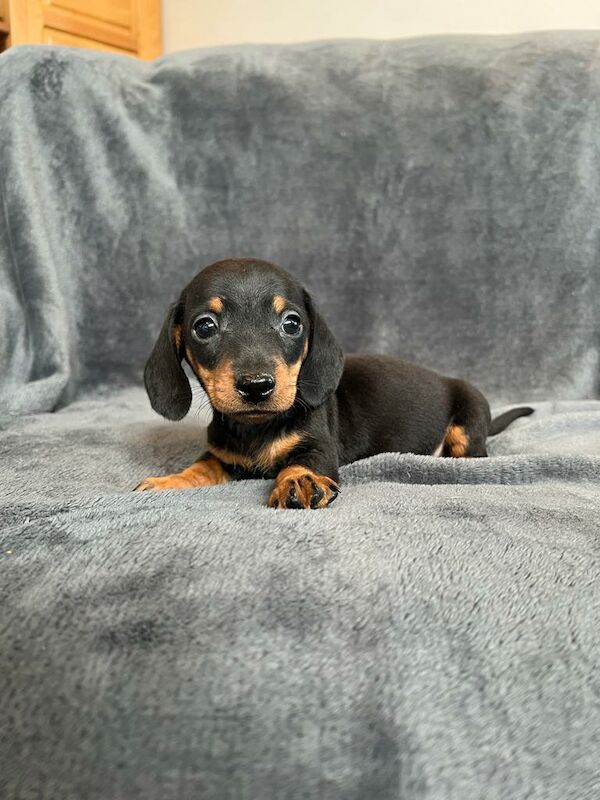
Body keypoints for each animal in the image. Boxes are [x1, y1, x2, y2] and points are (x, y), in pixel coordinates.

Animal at [136, 260, 536, 510]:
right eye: (204, 326)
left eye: (292, 323)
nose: (256, 386)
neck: (257, 428)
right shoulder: (221, 454)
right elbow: (201, 467)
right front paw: (167, 481)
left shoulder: (319, 445)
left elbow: (303, 462)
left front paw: (299, 481)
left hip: (468, 421)